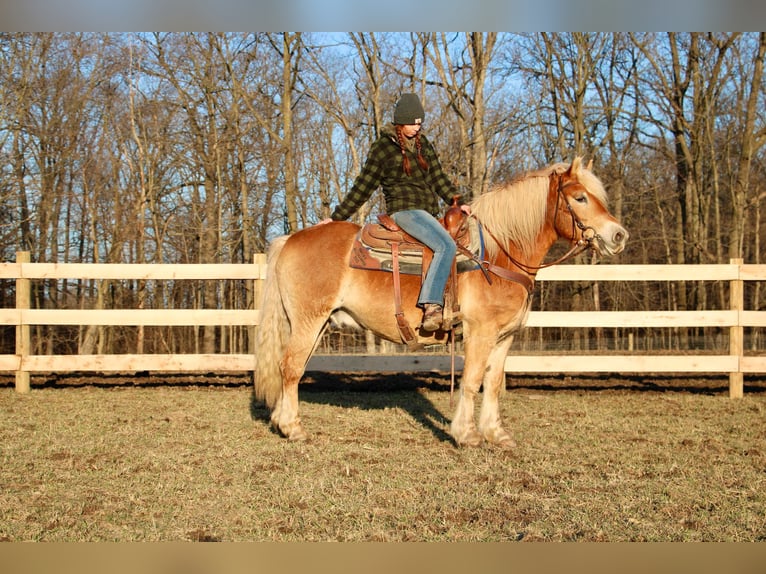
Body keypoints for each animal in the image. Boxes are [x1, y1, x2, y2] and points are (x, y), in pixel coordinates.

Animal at [255, 158, 628, 450]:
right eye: (580, 197)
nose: (619, 235)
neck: (498, 254)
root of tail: (290, 239)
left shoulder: (504, 337)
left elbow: (493, 383)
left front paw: (496, 434)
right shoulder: (480, 332)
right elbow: (472, 380)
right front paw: (467, 434)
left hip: (315, 323)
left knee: (288, 367)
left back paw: (281, 421)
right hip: (309, 321)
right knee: (291, 368)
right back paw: (293, 428)